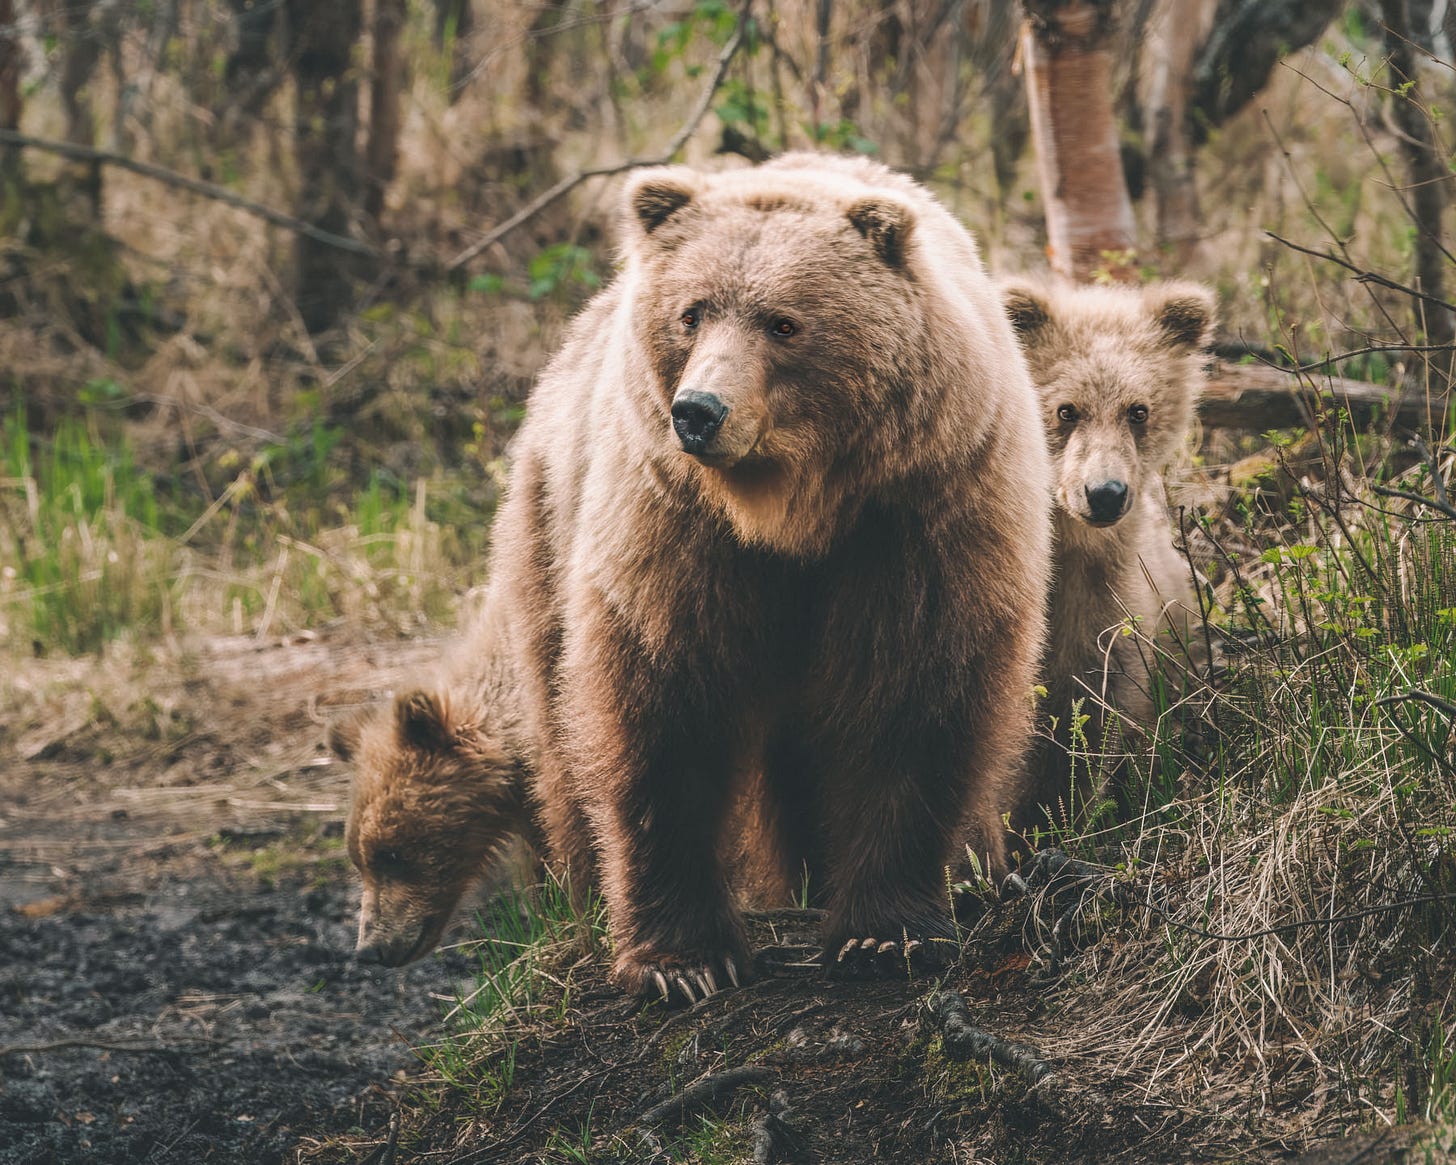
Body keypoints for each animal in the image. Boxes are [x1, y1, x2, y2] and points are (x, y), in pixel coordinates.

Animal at [484, 152, 1054, 1003]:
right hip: (549, 524)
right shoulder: (678, 530)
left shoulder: (920, 518)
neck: (793, 509)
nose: (699, 411)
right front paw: (683, 960)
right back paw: (581, 898)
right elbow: (665, 709)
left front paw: (885, 934)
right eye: (691, 313)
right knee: (561, 730)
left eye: (784, 321)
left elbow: (911, 700)